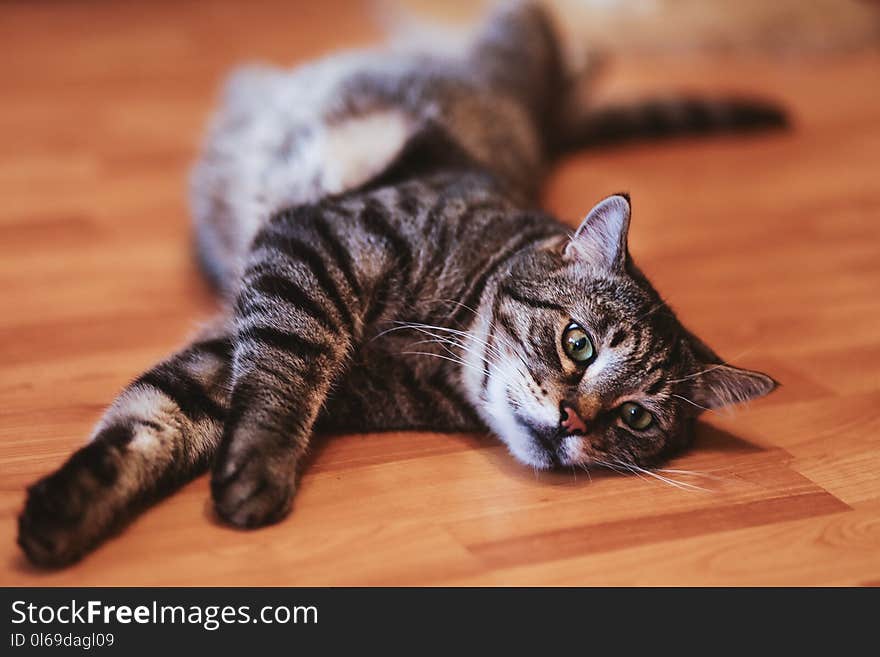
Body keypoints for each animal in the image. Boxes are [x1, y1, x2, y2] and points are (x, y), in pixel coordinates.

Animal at [18, 0, 784, 568]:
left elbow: (157, 417)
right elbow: (279, 376)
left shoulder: (239, 348)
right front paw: (261, 466)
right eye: (579, 344)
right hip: (517, 32)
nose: (574, 422)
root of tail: (544, 129)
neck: (436, 354)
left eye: (636, 419)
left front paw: (65, 512)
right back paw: (583, 57)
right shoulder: (315, 245)